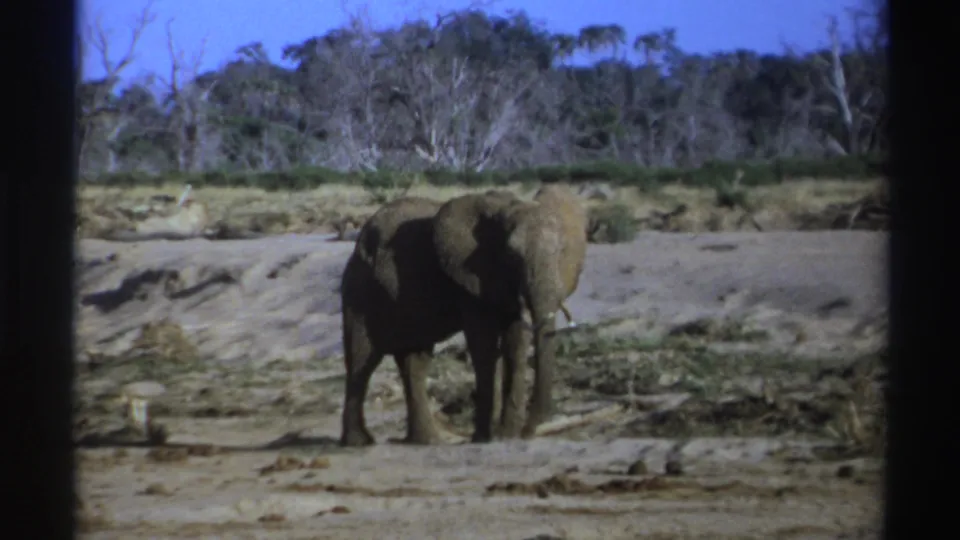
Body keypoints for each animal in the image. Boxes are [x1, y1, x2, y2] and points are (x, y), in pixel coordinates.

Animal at [432, 184, 588, 441]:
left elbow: (515, 342)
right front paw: (495, 435)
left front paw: (507, 434)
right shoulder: (472, 277)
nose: (527, 433)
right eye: (512, 255)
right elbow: (484, 342)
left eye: (561, 251)